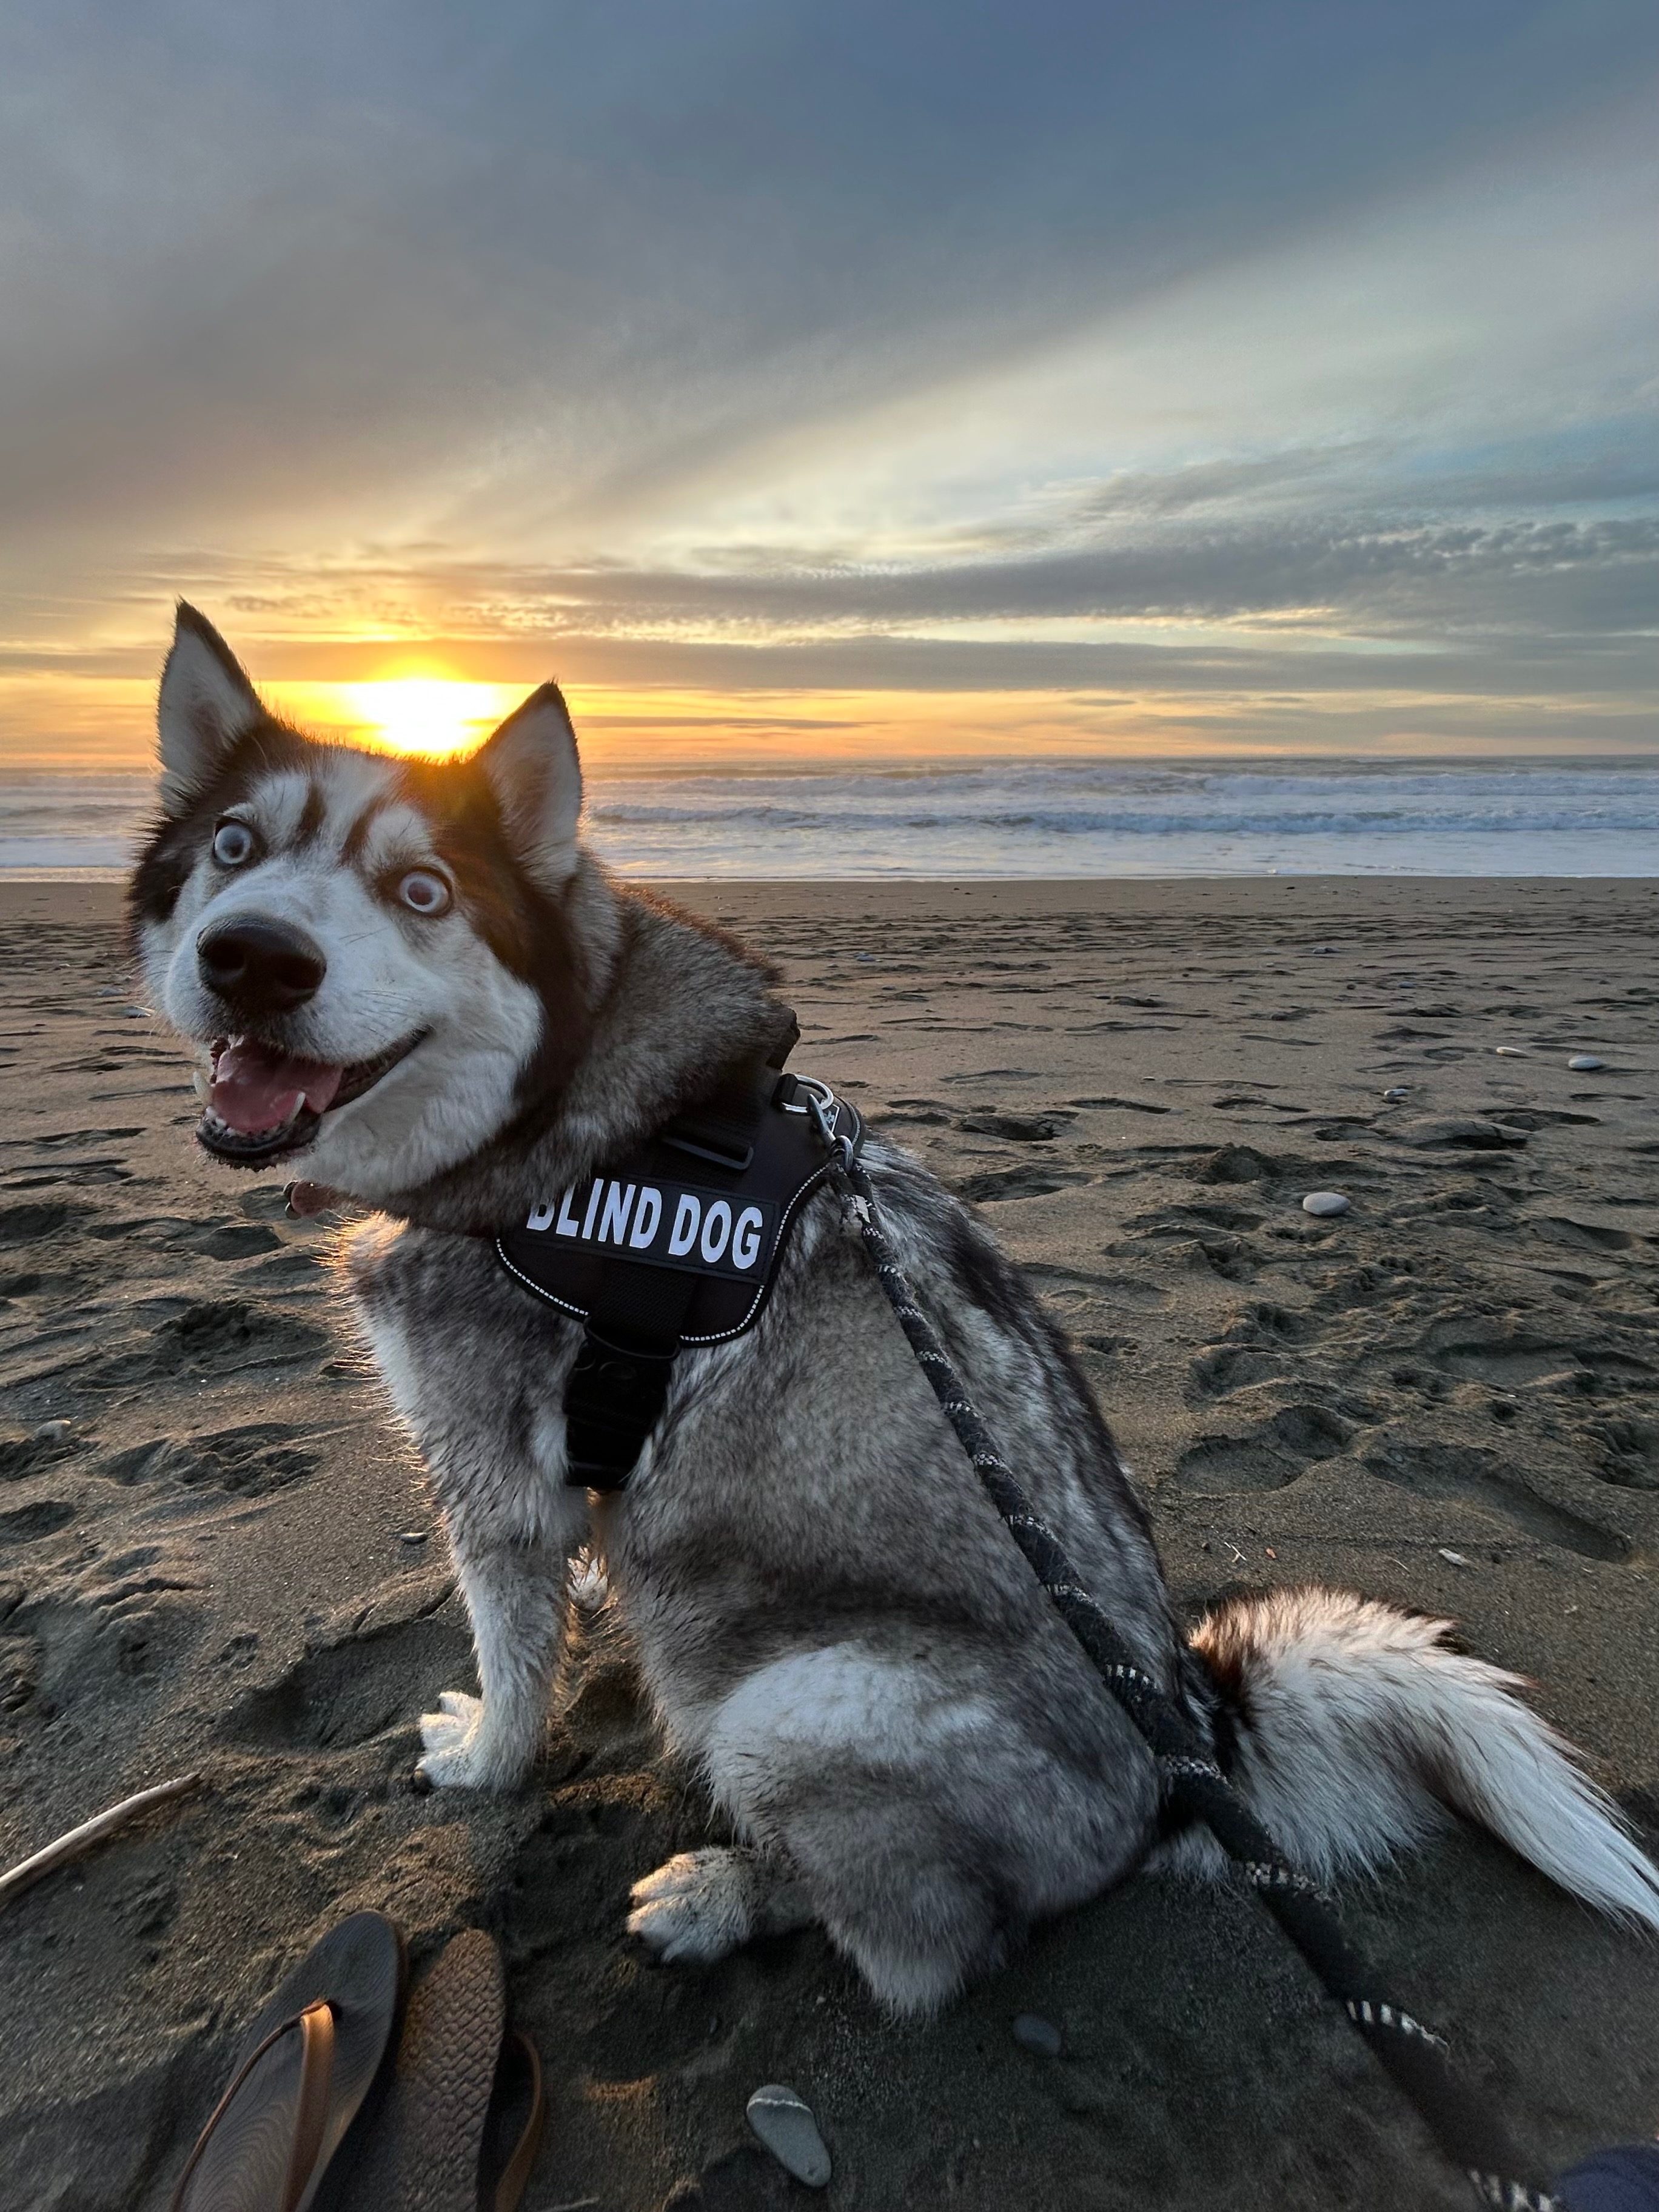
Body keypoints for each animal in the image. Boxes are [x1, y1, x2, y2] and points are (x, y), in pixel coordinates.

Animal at [131, 603, 1659, 2014]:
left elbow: (512, 1670)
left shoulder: (488, 1474)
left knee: (924, 1948)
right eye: (233, 849)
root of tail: (1181, 1766)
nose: (256, 958)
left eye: (422, 889)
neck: (561, 1107)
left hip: (788, 1709)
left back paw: (725, 1896)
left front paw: (488, 1762)